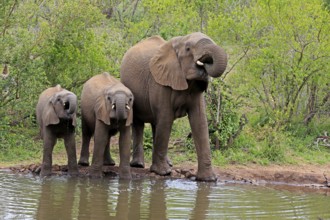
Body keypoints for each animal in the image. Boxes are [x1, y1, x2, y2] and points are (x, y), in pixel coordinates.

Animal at [120, 31, 227, 181]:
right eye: (188, 49)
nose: (206, 62)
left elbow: (200, 122)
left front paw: (208, 179)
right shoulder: (160, 81)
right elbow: (166, 118)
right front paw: (163, 172)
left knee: (156, 124)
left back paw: (168, 163)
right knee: (140, 123)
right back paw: (138, 165)